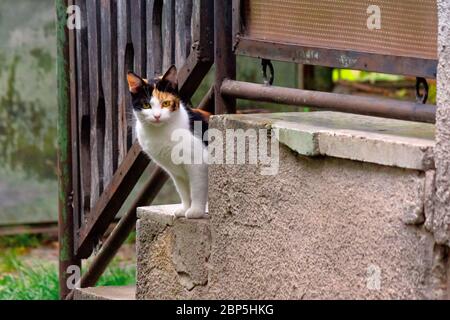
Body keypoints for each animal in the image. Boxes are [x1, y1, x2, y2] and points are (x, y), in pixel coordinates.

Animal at [127, 65, 210, 220]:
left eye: (166, 103)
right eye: (146, 105)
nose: (157, 116)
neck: (161, 133)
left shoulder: (198, 164)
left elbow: (197, 188)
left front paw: (195, 211)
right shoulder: (176, 172)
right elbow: (183, 191)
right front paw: (185, 208)